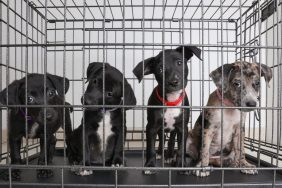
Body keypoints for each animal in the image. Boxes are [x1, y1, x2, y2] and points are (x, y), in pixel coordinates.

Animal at [133, 45, 202, 175]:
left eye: (179, 63)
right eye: (160, 69)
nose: (174, 82)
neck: (171, 101)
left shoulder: (182, 128)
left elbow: (180, 148)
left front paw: (181, 166)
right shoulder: (151, 127)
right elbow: (150, 148)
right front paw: (150, 165)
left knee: (171, 140)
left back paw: (169, 156)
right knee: (162, 138)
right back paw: (161, 153)